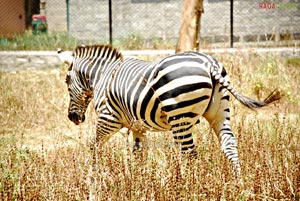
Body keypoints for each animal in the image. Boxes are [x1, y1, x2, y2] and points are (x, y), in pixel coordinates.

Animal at [57, 44, 280, 175]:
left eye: (66, 81)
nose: (72, 117)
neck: (103, 75)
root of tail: (209, 64)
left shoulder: (108, 118)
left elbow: (94, 146)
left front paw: (92, 174)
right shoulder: (138, 126)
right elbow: (138, 153)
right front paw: (140, 179)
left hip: (180, 117)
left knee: (189, 153)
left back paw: (187, 185)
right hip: (219, 112)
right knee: (229, 143)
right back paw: (237, 180)